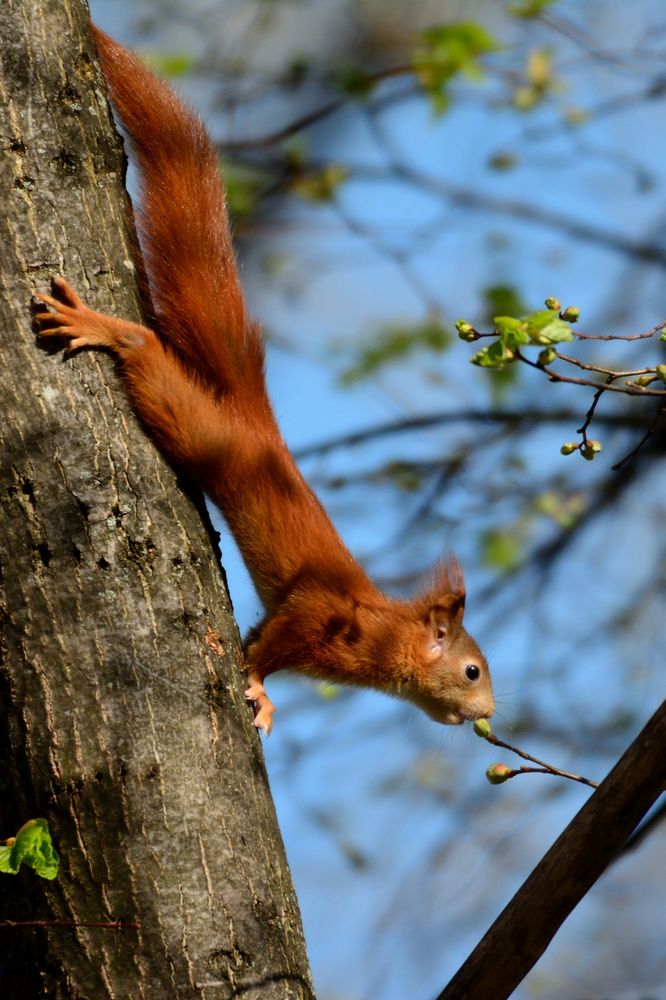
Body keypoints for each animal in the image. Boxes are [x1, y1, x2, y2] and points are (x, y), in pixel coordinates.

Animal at [36, 25, 492, 736]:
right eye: (471, 671)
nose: (487, 714)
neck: (385, 633)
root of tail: (257, 424)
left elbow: (258, 637)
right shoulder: (320, 619)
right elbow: (271, 645)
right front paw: (258, 684)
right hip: (200, 429)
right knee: (149, 359)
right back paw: (108, 330)